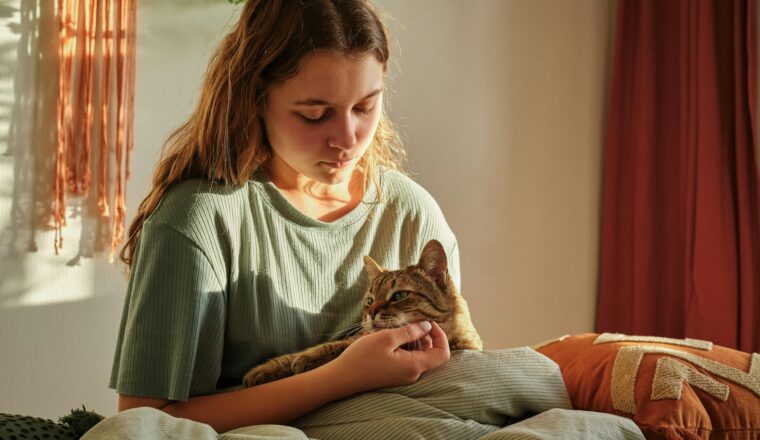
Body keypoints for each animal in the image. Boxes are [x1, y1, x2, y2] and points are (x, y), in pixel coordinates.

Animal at [243, 239, 480, 386]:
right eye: (369, 300)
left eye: (399, 295)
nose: (371, 313)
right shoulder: (358, 336)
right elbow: (320, 348)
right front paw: (264, 370)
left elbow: (336, 347)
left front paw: (306, 359)